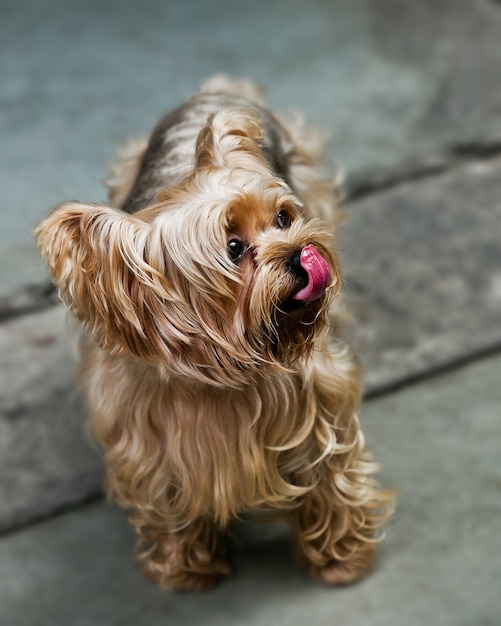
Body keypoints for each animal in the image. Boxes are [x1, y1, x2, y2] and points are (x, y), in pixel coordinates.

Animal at [36, 75, 394, 588]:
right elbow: (169, 501)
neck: (219, 379)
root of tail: (219, 88)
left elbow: (331, 471)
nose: (301, 251)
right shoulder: (150, 442)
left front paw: (342, 557)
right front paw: (186, 568)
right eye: (233, 248)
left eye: (282, 218)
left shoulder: (315, 402)